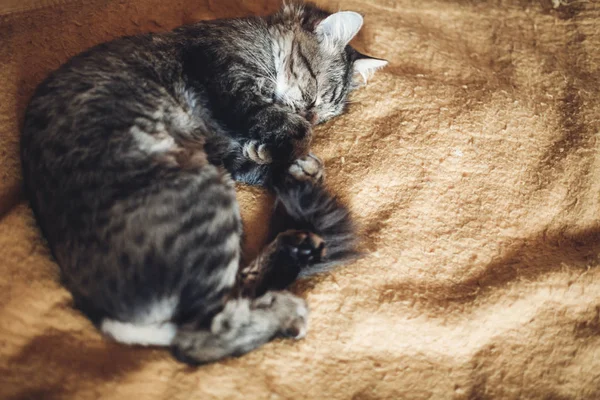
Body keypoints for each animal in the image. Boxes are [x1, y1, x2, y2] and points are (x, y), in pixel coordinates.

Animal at [18, 0, 386, 364]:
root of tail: (100, 314)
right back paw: (287, 309)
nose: (311, 115)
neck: (261, 39)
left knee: (239, 291)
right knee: (200, 338)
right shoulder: (228, 79)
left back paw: (299, 247)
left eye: (325, 116)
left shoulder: (222, 145)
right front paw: (292, 152)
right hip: (204, 197)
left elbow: (259, 157)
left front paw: (289, 162)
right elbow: (285, 130)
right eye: (313, 98)